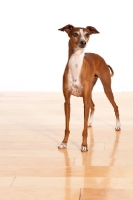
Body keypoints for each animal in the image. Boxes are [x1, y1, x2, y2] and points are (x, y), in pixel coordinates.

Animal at [57, 24, 120, 152]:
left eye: (87, 34)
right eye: (75, 33)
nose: (83, 42)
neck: (76, 65)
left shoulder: (84, 101)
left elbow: (84, 129)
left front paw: (84, 145)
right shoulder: (67, 101)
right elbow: (67, 126)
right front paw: (64, 143)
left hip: (106, 88)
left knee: (115, 107)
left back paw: (117, 126)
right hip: (90, 91)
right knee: (93, 105)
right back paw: (90, 122)